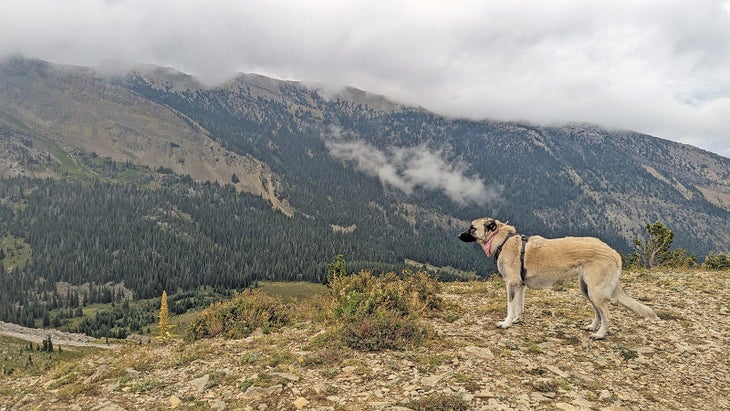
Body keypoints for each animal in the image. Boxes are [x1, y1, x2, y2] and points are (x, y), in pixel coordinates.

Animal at [460, 217, 660, 340]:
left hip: (595, 291)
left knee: (607, 314)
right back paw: (592, 327)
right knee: (598, 312)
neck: (503, 240)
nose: (458, 235)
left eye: (472, 228)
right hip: (586, 289)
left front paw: (506, 323)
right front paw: (516, 319)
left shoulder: (511, 284)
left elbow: (510, 306)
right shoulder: (520, 285)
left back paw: (600, 334)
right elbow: (518, 305)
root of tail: (614, 253)